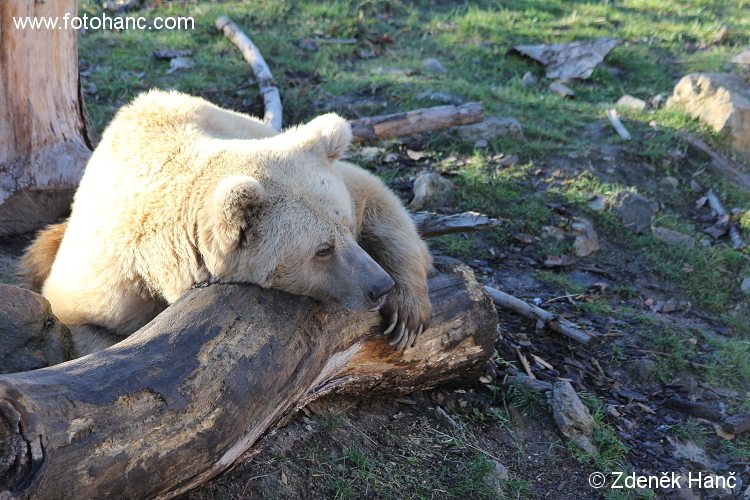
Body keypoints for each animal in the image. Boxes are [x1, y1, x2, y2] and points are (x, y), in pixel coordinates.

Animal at [20, 89, 432, 356]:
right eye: (322, 250)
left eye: (347, 227)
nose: (379, 286)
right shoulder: (110, 277)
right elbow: (78, 322)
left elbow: (372, 192)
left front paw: (407, 312)